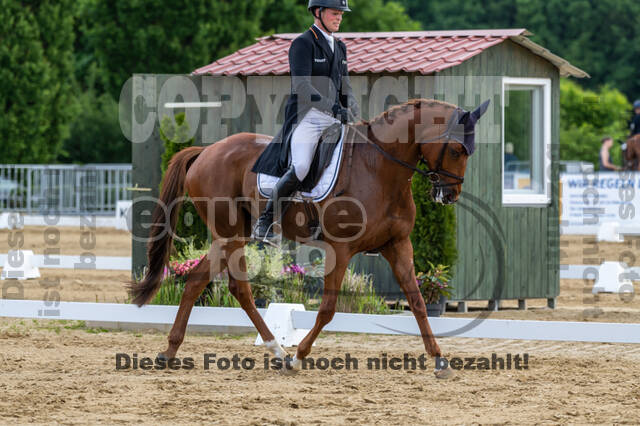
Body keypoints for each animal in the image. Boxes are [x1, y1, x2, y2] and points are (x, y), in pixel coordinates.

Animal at [128, 98, 490, 379]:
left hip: (228, 237)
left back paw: (175, 352)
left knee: (201, 282)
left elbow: (417, 303)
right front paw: (299, 357)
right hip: (230, 235)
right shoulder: (340, 250)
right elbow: (327, 308)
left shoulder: (397, 245)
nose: (450, 195)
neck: (380, 169)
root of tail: (206, 151)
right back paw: (277, 352)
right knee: (235, 287)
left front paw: (440, 360)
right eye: (456, 150)